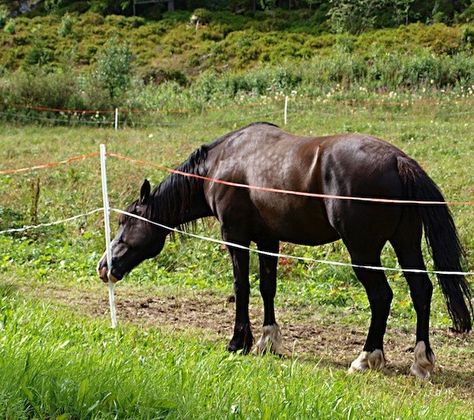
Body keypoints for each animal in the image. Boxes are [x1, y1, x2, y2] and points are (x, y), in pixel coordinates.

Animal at [96, 123, 470, 378]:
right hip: (405, 243)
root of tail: (398, 160)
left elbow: (242, 287)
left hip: (363, 252)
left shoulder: (235, 236)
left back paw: (367, 357)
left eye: (125, 221)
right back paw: (421, 361)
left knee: (382, 296)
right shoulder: (267, 240)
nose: (104, 266)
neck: (223, 163)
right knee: (421, 290)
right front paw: (268, 342)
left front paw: (239, 342)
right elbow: (267, 287)